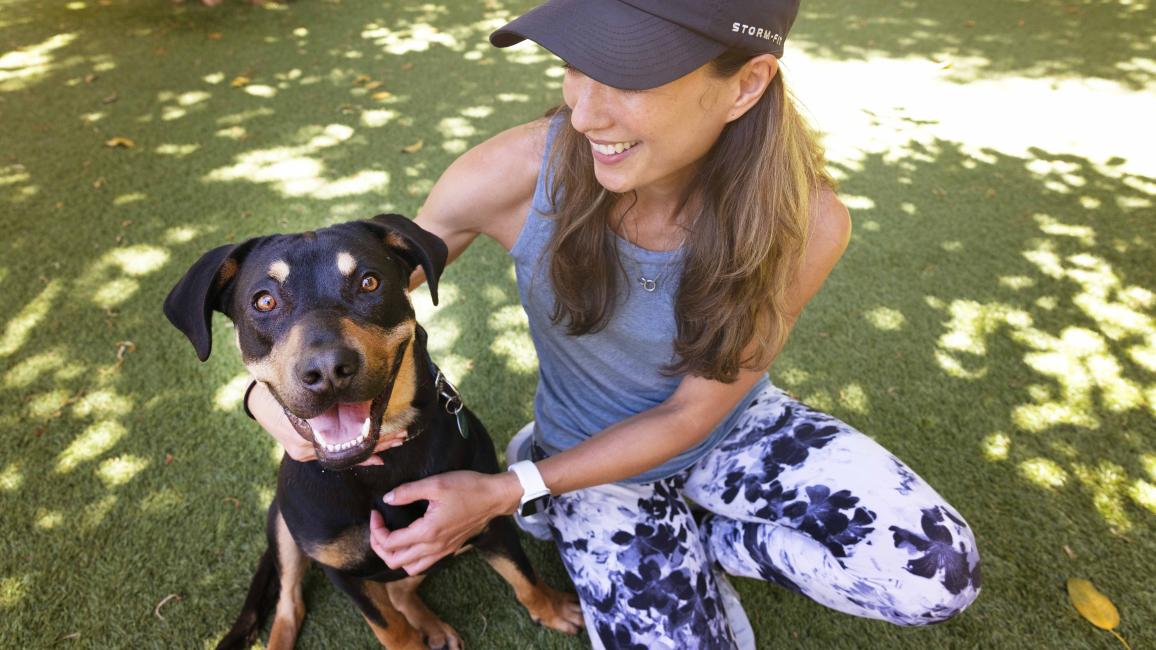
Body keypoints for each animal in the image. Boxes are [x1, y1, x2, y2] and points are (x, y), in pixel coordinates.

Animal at [167, 215, 582, 643]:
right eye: (264, 301)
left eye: (369, 282)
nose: (328, 370)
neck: (380, 465)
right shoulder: (343, 572)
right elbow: (392, 631)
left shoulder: (485, 517)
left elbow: (523, 576)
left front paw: (551, 609)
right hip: (283, 526)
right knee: (290, 603)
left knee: (399, 591)